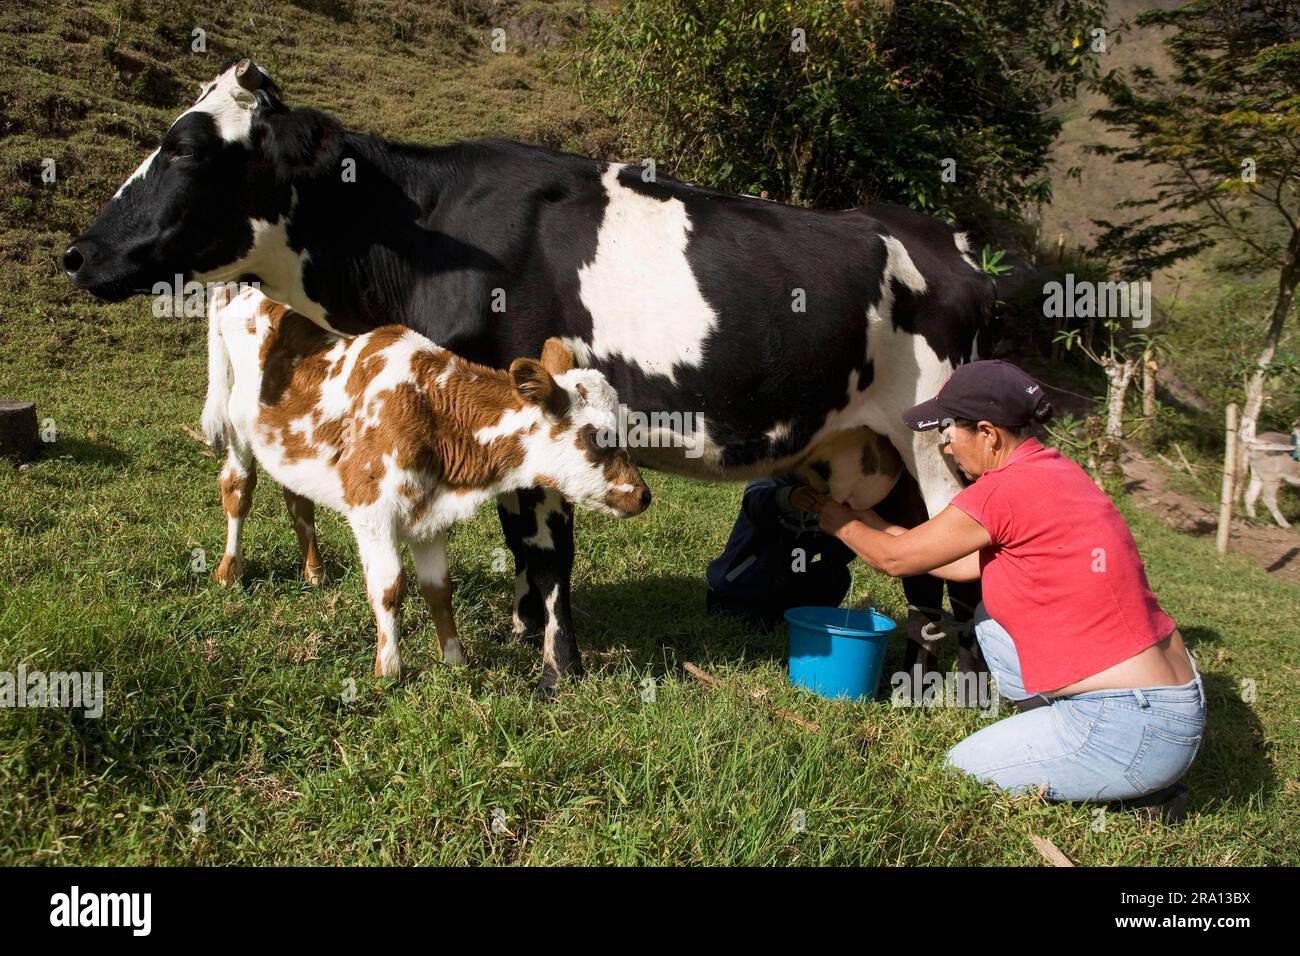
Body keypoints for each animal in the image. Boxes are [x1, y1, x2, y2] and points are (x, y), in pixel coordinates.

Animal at [201, 286, 650, 681]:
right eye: (598, 438)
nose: (643, 495)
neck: (431, 407)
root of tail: (244, 292)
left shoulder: (428, 513)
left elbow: (438, 588)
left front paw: (455, 659)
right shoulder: (372, 510)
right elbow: (388, 587)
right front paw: (389, 670)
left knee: (297, 500)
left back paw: (315, 572)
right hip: (237, 429)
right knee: (237, 488)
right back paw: (229, 570)